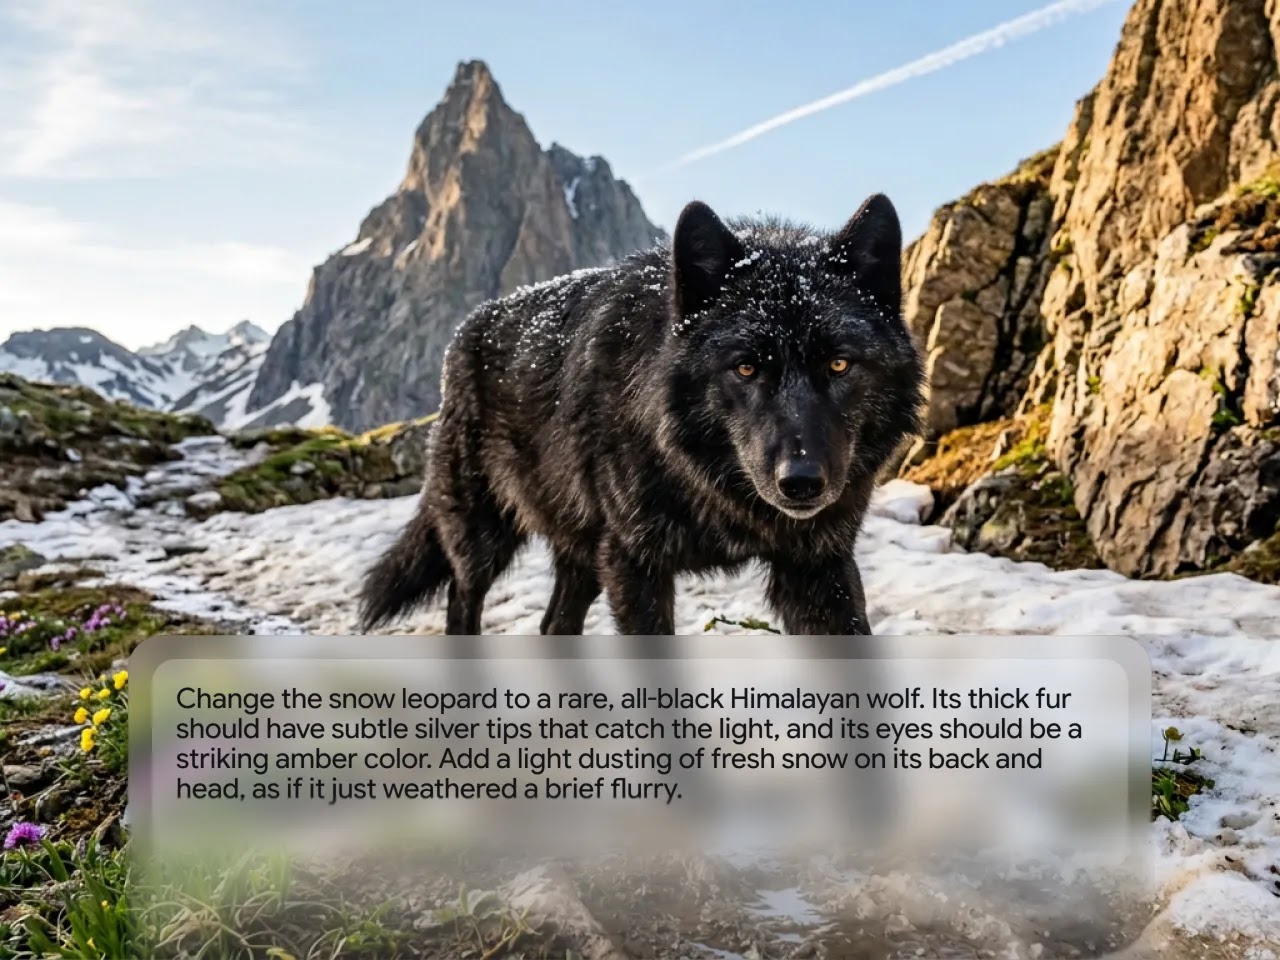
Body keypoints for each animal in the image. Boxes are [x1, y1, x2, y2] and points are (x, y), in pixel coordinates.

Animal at [359, 195, 925, 636]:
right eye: (745, 367)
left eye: (839, 363)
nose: (802, 482)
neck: (711, 484)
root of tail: (466, 330)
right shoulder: (635, 565)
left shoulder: (818, 567)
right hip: (483, 535)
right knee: (463, 602)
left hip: (583, 554)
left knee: (554, 624)